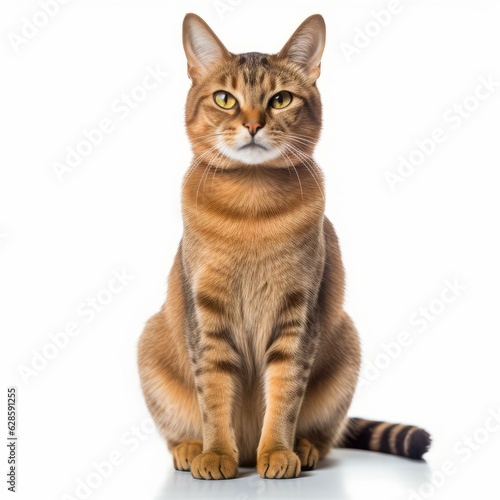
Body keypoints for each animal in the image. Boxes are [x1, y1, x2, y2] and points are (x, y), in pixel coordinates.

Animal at [138, 13, 430, 478]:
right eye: (225, 99)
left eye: (280, 100)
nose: (253, 124)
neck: (251, 209)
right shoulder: (206, 313)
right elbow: (213, 395)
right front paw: (215, 454)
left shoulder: (298, 312)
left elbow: (285, 393)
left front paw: (276, 451)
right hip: (150, 341)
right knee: (180, 429)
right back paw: (190, 449)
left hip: (347, 343)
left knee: (326, 435)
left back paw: (303, 448)